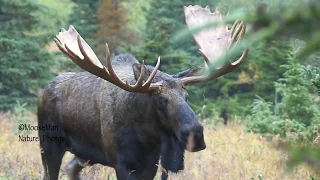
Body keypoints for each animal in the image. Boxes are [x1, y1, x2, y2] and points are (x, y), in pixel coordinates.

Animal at [37, 5, 248, 180]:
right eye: (160, 100)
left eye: (186, 96)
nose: (196, 135)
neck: (147, 138)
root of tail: (43, 91)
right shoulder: (122, 163)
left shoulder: (152, 164)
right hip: (49, 145)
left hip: (84, 154)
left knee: (71, 168)